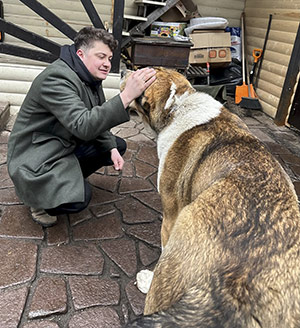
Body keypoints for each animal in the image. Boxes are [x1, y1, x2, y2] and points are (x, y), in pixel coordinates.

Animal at [122, 68, 300, 326]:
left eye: (140, 77)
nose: (123, 72)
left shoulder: (171, 214)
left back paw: (147, 281)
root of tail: (240, 288)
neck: (179, 105)